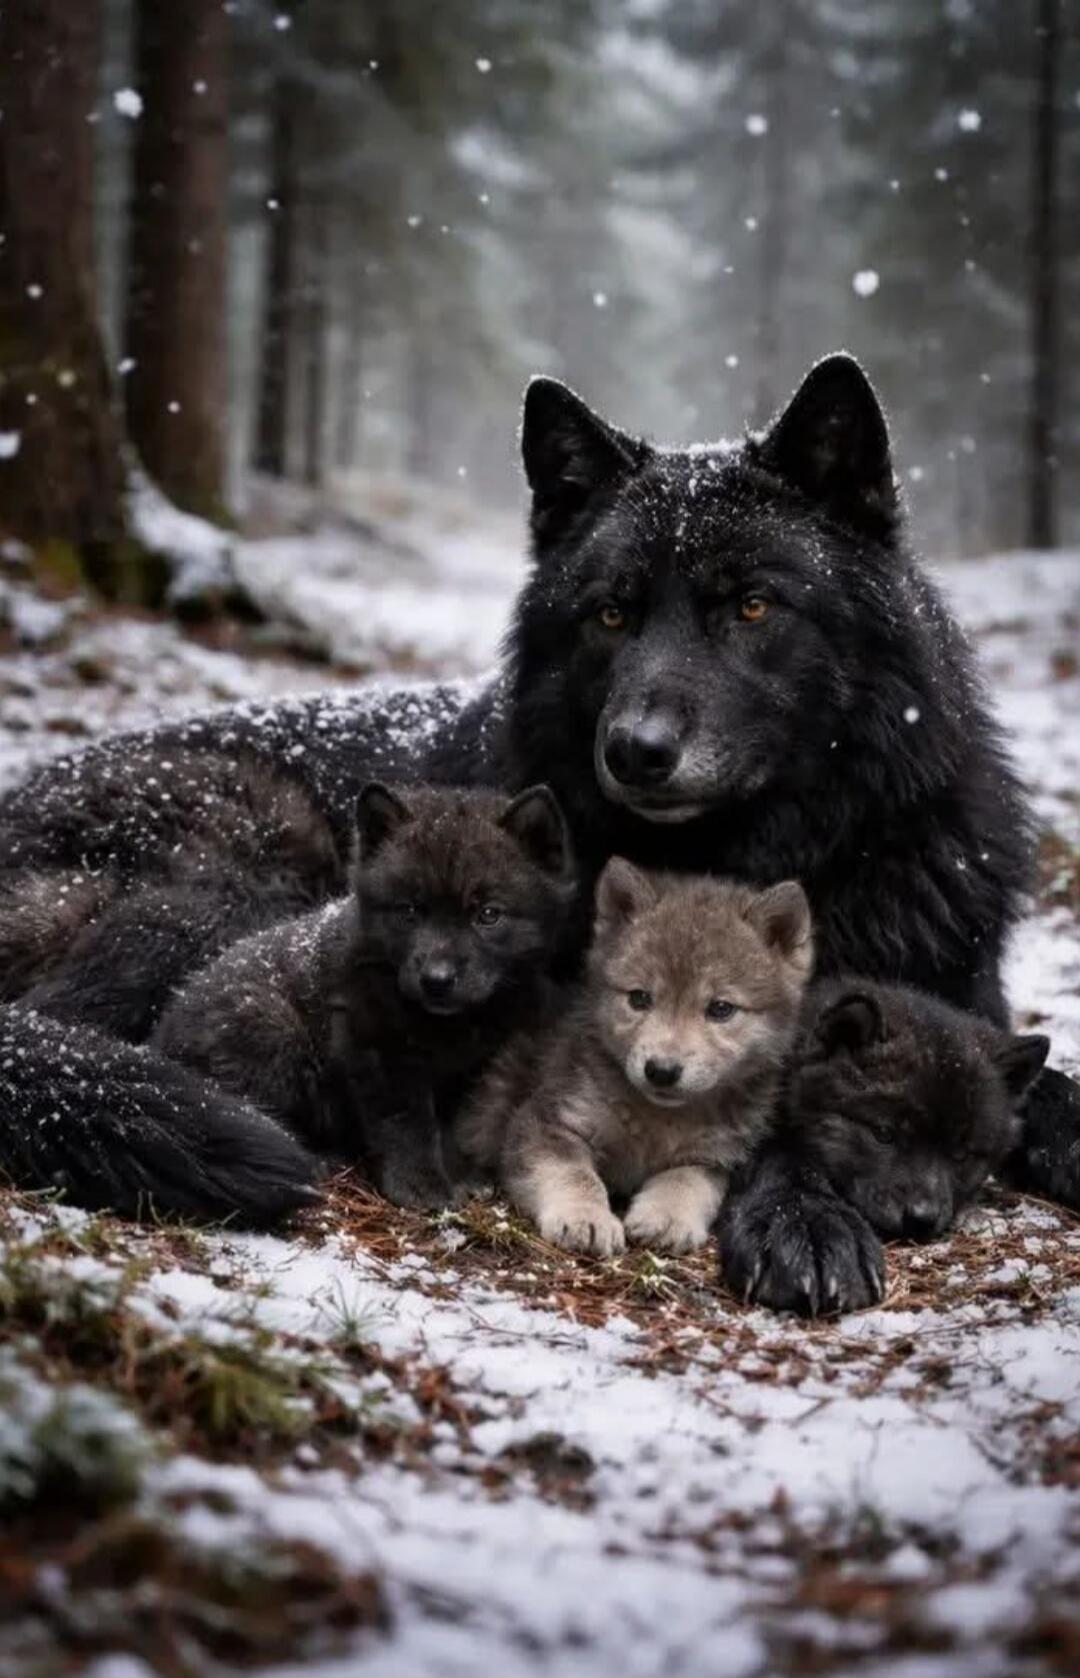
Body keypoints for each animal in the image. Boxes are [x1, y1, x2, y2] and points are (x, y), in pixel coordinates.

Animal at [155, 782, 575, 1208]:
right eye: (409, 910)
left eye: (488, 914)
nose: (436, 980)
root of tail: (159, 1038)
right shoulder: (377, 1050)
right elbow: (407, 1126)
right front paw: (420, 1187)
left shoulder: (475, 1063)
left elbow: (451, 1124)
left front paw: (460, 1174)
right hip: (271, 1027)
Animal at [458, 858, 812, 1256]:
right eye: (639, 998)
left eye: (721, 1008)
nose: (662, 1070)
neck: (658, 1120)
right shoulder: (545, 1122)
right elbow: (574, 1174)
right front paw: (585, 1217)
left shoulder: (714, 1156)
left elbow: (687, 1181)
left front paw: (668, 1217)